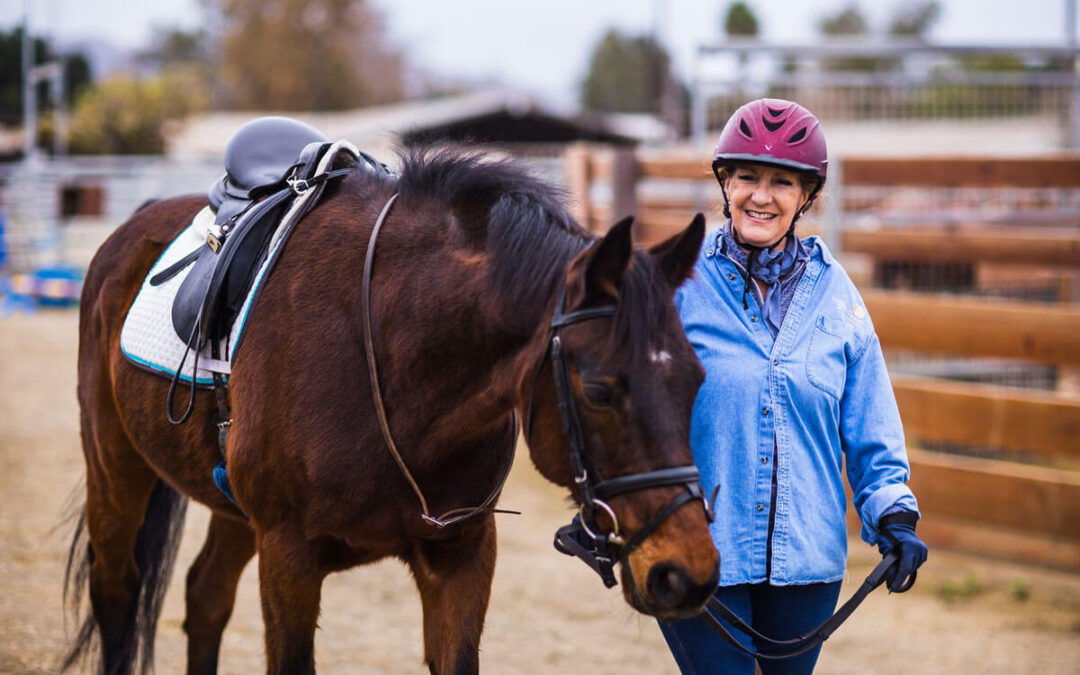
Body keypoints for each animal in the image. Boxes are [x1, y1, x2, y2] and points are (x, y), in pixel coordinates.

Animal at [64, 147, 719, 674]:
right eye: (601, 391)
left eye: (696, 380)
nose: (686, 574)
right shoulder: (288, 555)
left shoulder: (462, 557)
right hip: (115, 469)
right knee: (117, 591)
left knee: (204, 598)